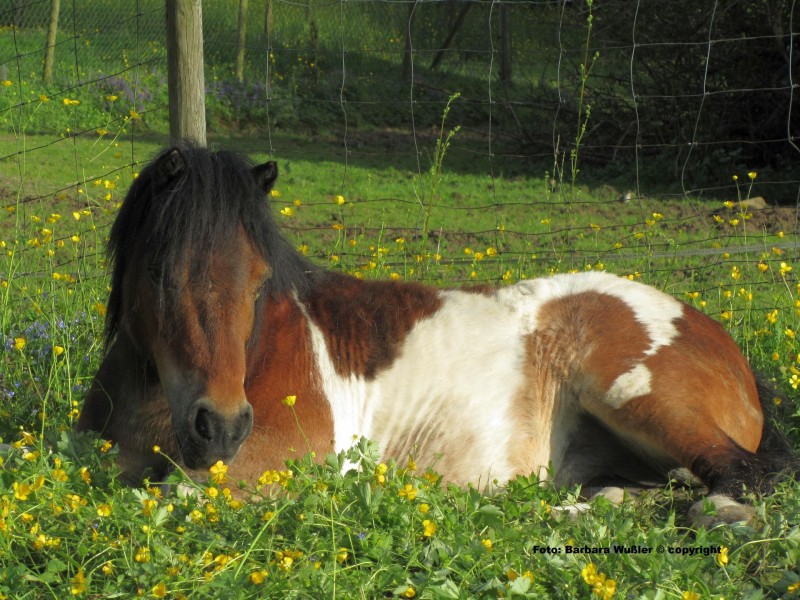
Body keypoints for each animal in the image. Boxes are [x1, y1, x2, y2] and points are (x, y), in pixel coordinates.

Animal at [78, 144, 796, 524]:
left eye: (258, 282)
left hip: (640, 400)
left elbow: (174, 493)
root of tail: (717, 338)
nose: (222, 428)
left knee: (736, 478)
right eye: (161, 275)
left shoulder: (265, 465)